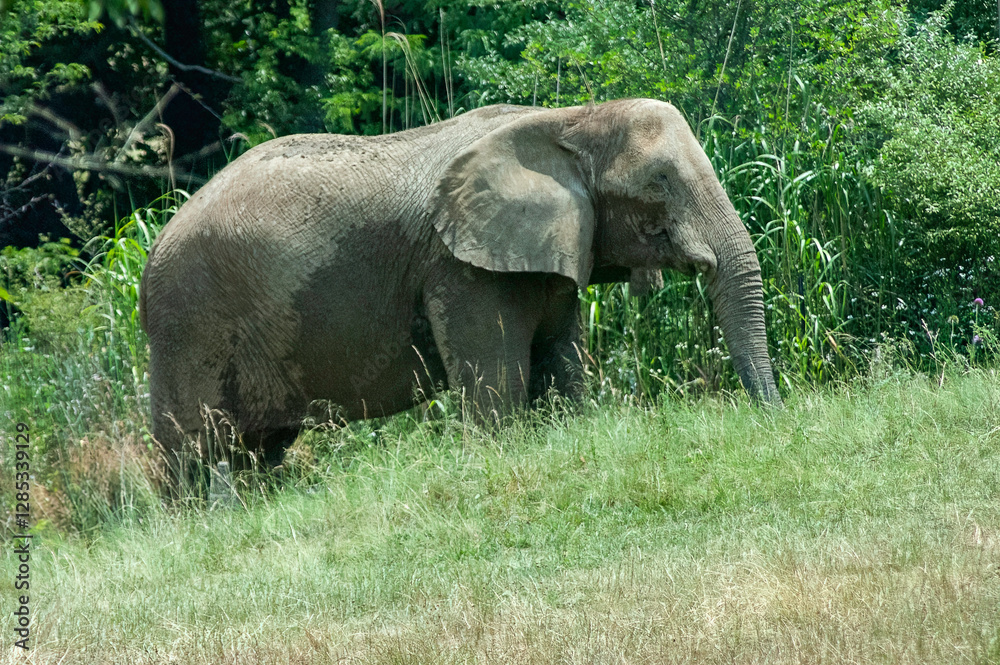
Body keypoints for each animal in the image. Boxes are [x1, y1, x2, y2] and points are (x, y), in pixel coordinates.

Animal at [139, 98, 781, 470]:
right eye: (659, 182)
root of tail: (151, 249)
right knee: (197, 455)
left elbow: (562, 364)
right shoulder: (459, 267)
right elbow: (498, 387)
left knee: (261, 452)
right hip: (188, 324)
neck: (568, 116)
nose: (774, 418)